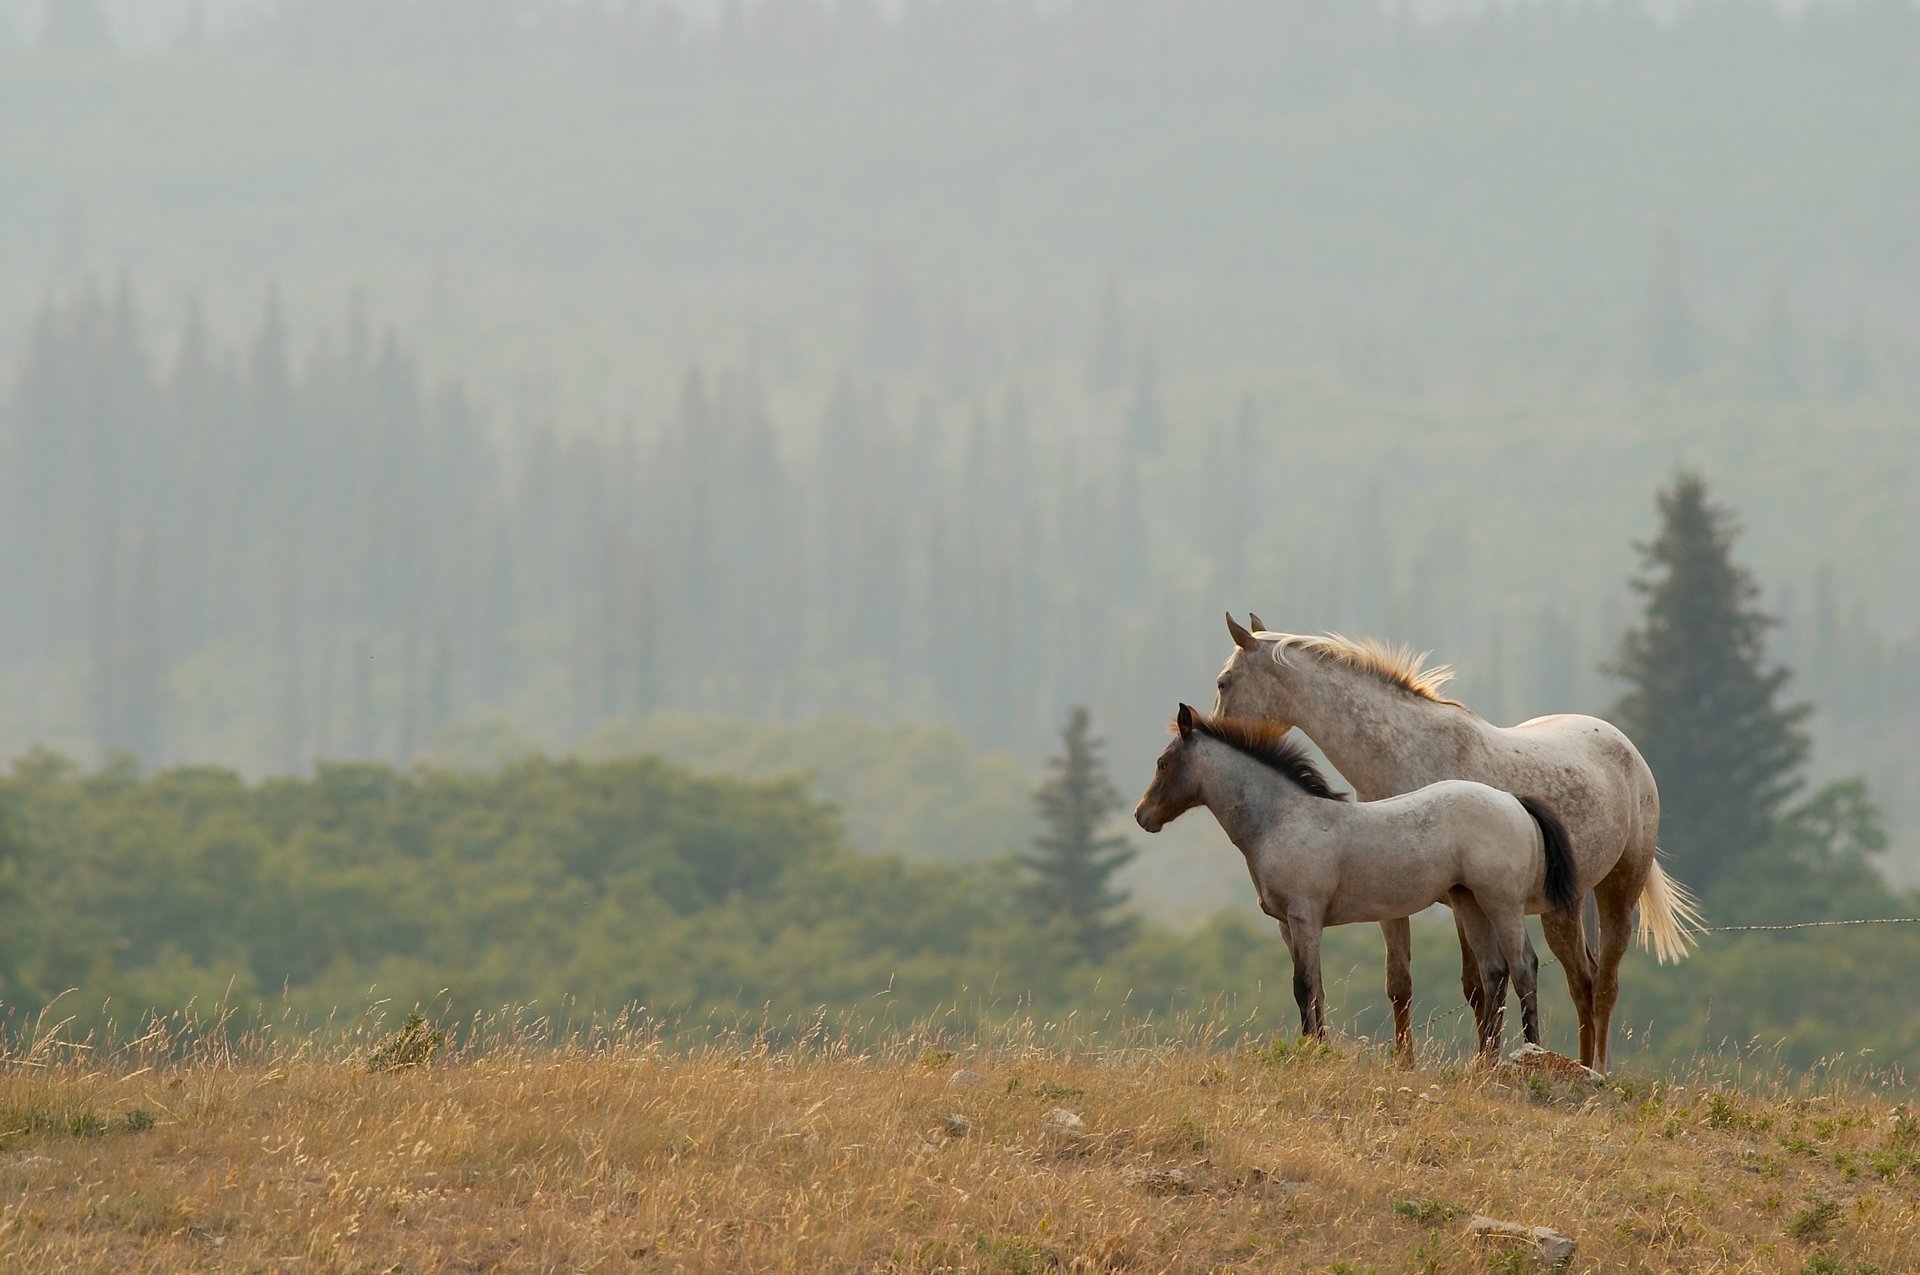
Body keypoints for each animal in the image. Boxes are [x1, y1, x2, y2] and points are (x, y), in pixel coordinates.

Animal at [1133, 704, 1581, 1060]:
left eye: (1162, 763)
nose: (1142, 816)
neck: (1282, 819)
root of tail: (1512, 800)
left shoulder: (1305, 916)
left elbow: (1303, 986)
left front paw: (1311, 1054)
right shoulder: (1287, 926)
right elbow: (1316, 988)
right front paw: (1319, 1048)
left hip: (1503, 904)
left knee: (1523, 967)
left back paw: (1530, 1053)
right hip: (1469, 902)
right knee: (1493, 972)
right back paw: (1484, 1064)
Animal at [1214, 613, 1702, 1073]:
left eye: (1224, 682)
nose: (1213, 732)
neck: (1408, 752)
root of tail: (1626, 748)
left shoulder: (1463, 900)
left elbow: (1483, 984)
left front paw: (1486, 1059)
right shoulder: (1399, 902)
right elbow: (1404, 983)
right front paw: (1409, 1063)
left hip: (1616, 891)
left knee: (1600, 984)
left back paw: (1594, 1069)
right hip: (1562, 907)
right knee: (1583, 979)